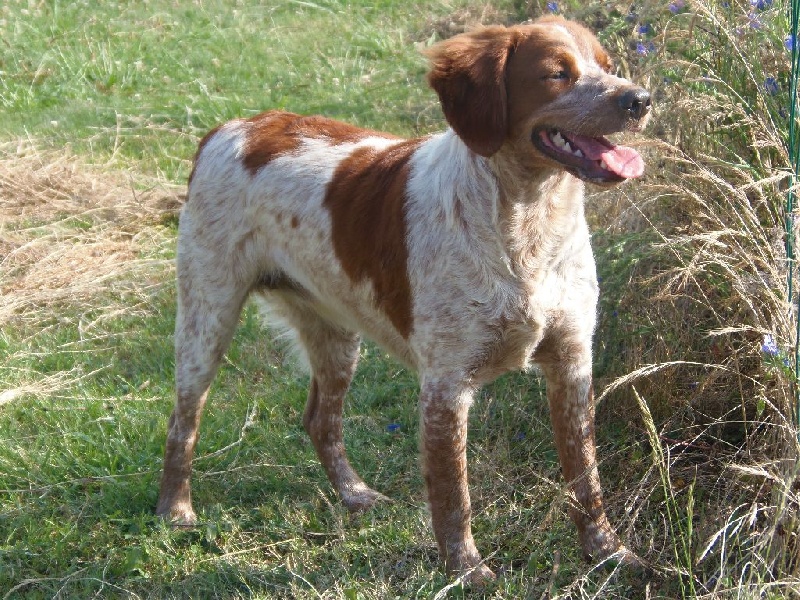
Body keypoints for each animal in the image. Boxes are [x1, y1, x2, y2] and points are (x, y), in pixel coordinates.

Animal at [156, 15, 651, 582]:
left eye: (608, 66)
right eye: (556, 74)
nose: (640, 99)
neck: (528, 224)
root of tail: (230, 128)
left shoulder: (571, 362)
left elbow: (586, 477)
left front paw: (609, 553)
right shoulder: (446, 386)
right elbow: (453, 497)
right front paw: (467, 573)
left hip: (335, 336)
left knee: (320, 420)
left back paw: (353, 494)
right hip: (206, 318)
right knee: (183, 419)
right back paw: (174, 509)